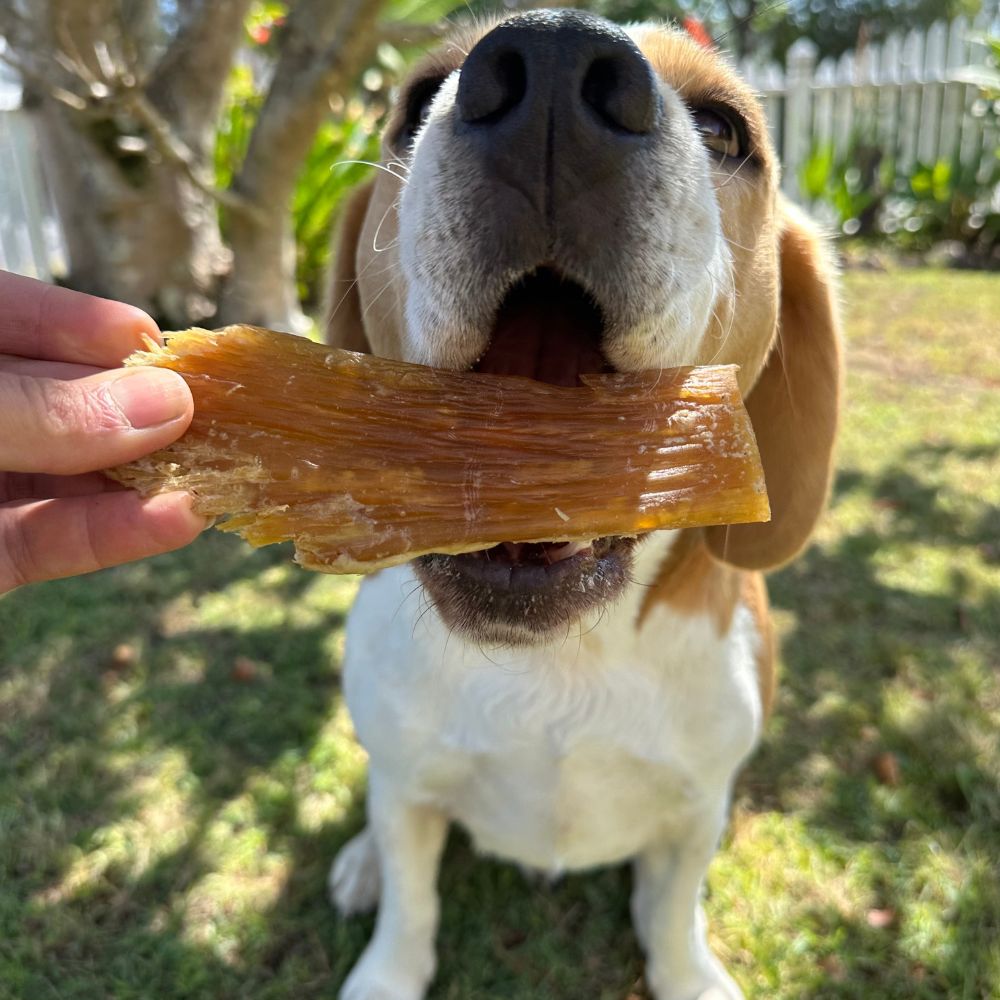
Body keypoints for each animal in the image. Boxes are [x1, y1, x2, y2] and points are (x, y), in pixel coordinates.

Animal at [324, 9, 840, 1000]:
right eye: (418, 97)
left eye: (725, 129)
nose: (554, 64)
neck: (561, 661)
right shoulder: (407, 785)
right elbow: (411, 899)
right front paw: (386, 963)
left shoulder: (698, 805)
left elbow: (671, 911)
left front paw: (685, 969)